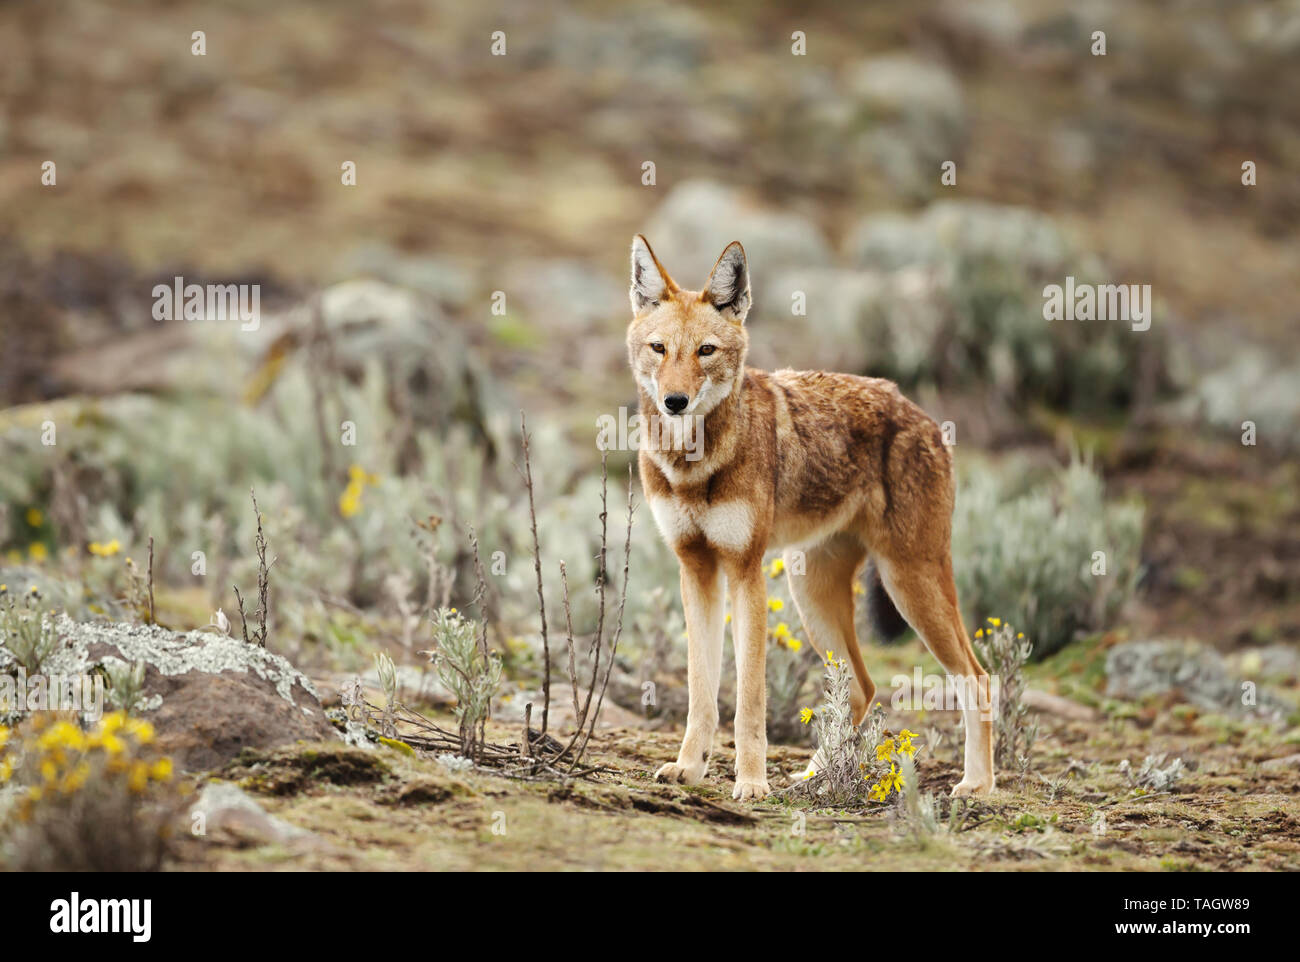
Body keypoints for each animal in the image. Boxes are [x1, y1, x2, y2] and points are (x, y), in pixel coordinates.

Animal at [627, 234, 995, 801]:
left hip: (910, 585)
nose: (674, 401)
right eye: (659, 348)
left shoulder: (745, 572)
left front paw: (751, 783)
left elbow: (749, 701)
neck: (692, 462)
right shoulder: (697, 570)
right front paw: (688, 769)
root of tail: (926, 417)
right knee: (863, 688)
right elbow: (701, 694)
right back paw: (814, 776)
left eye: (705, 351)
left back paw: (977, 784)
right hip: (814, 596)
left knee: (977, 677)